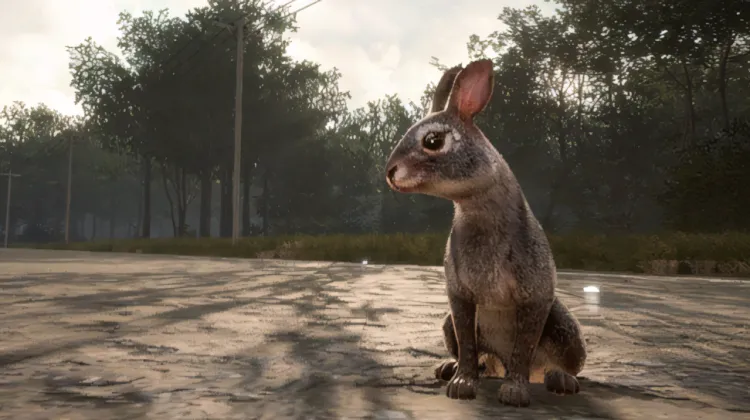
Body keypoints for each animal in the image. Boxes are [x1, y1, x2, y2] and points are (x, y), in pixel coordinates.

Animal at [384, 59, 586, 407]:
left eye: (433, 141)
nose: (390, 173)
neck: (477, 209)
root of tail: (497, 364)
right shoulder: (459, 296)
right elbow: (467, 342)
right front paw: (462, 384)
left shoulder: (536, 297)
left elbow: (523, 348)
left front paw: (515, 392)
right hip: (448, 325)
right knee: (476, 353)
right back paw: (449, 368)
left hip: (564, 327)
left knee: (559, 362)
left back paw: (559, 380)